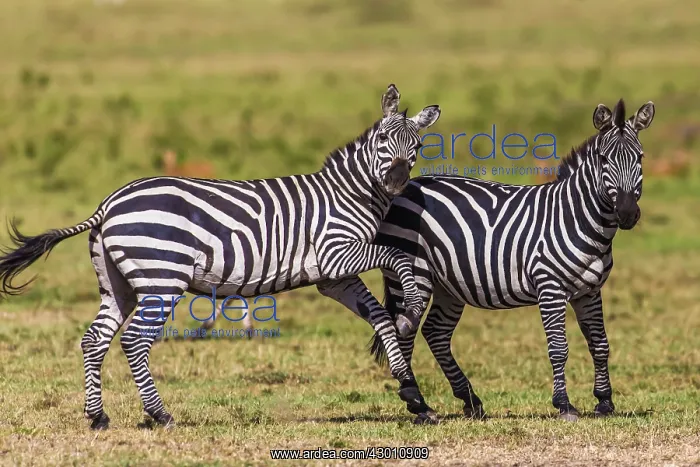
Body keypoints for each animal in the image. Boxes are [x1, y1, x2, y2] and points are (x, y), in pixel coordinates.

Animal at [0, 84, 441, 430]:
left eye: (417, 148)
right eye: (382, 143)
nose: (396, 183)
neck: (351, 194)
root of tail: (108, 203)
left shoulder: (334, 278)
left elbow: (380, 317)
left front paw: (414, 396)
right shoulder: (337, 254)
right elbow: (395, 256)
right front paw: (412, 306)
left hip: (117, 284)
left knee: (96, 338)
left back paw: (98, 416)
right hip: (162, 279)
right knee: (134, 340)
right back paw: (160, 415)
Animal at [353, 99, 654, 423]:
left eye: (640, 157)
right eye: (603, 159)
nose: (627, 213)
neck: (577, 218)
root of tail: (406, 187)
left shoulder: (590, 291)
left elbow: (599, 344)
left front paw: (604, 402)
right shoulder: (550, 288)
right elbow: (558, 348)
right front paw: (564, 404)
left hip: (449, 283)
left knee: (435, 332)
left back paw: (469, 399)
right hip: (413, 274)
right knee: (404, 331)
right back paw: (418, 404)